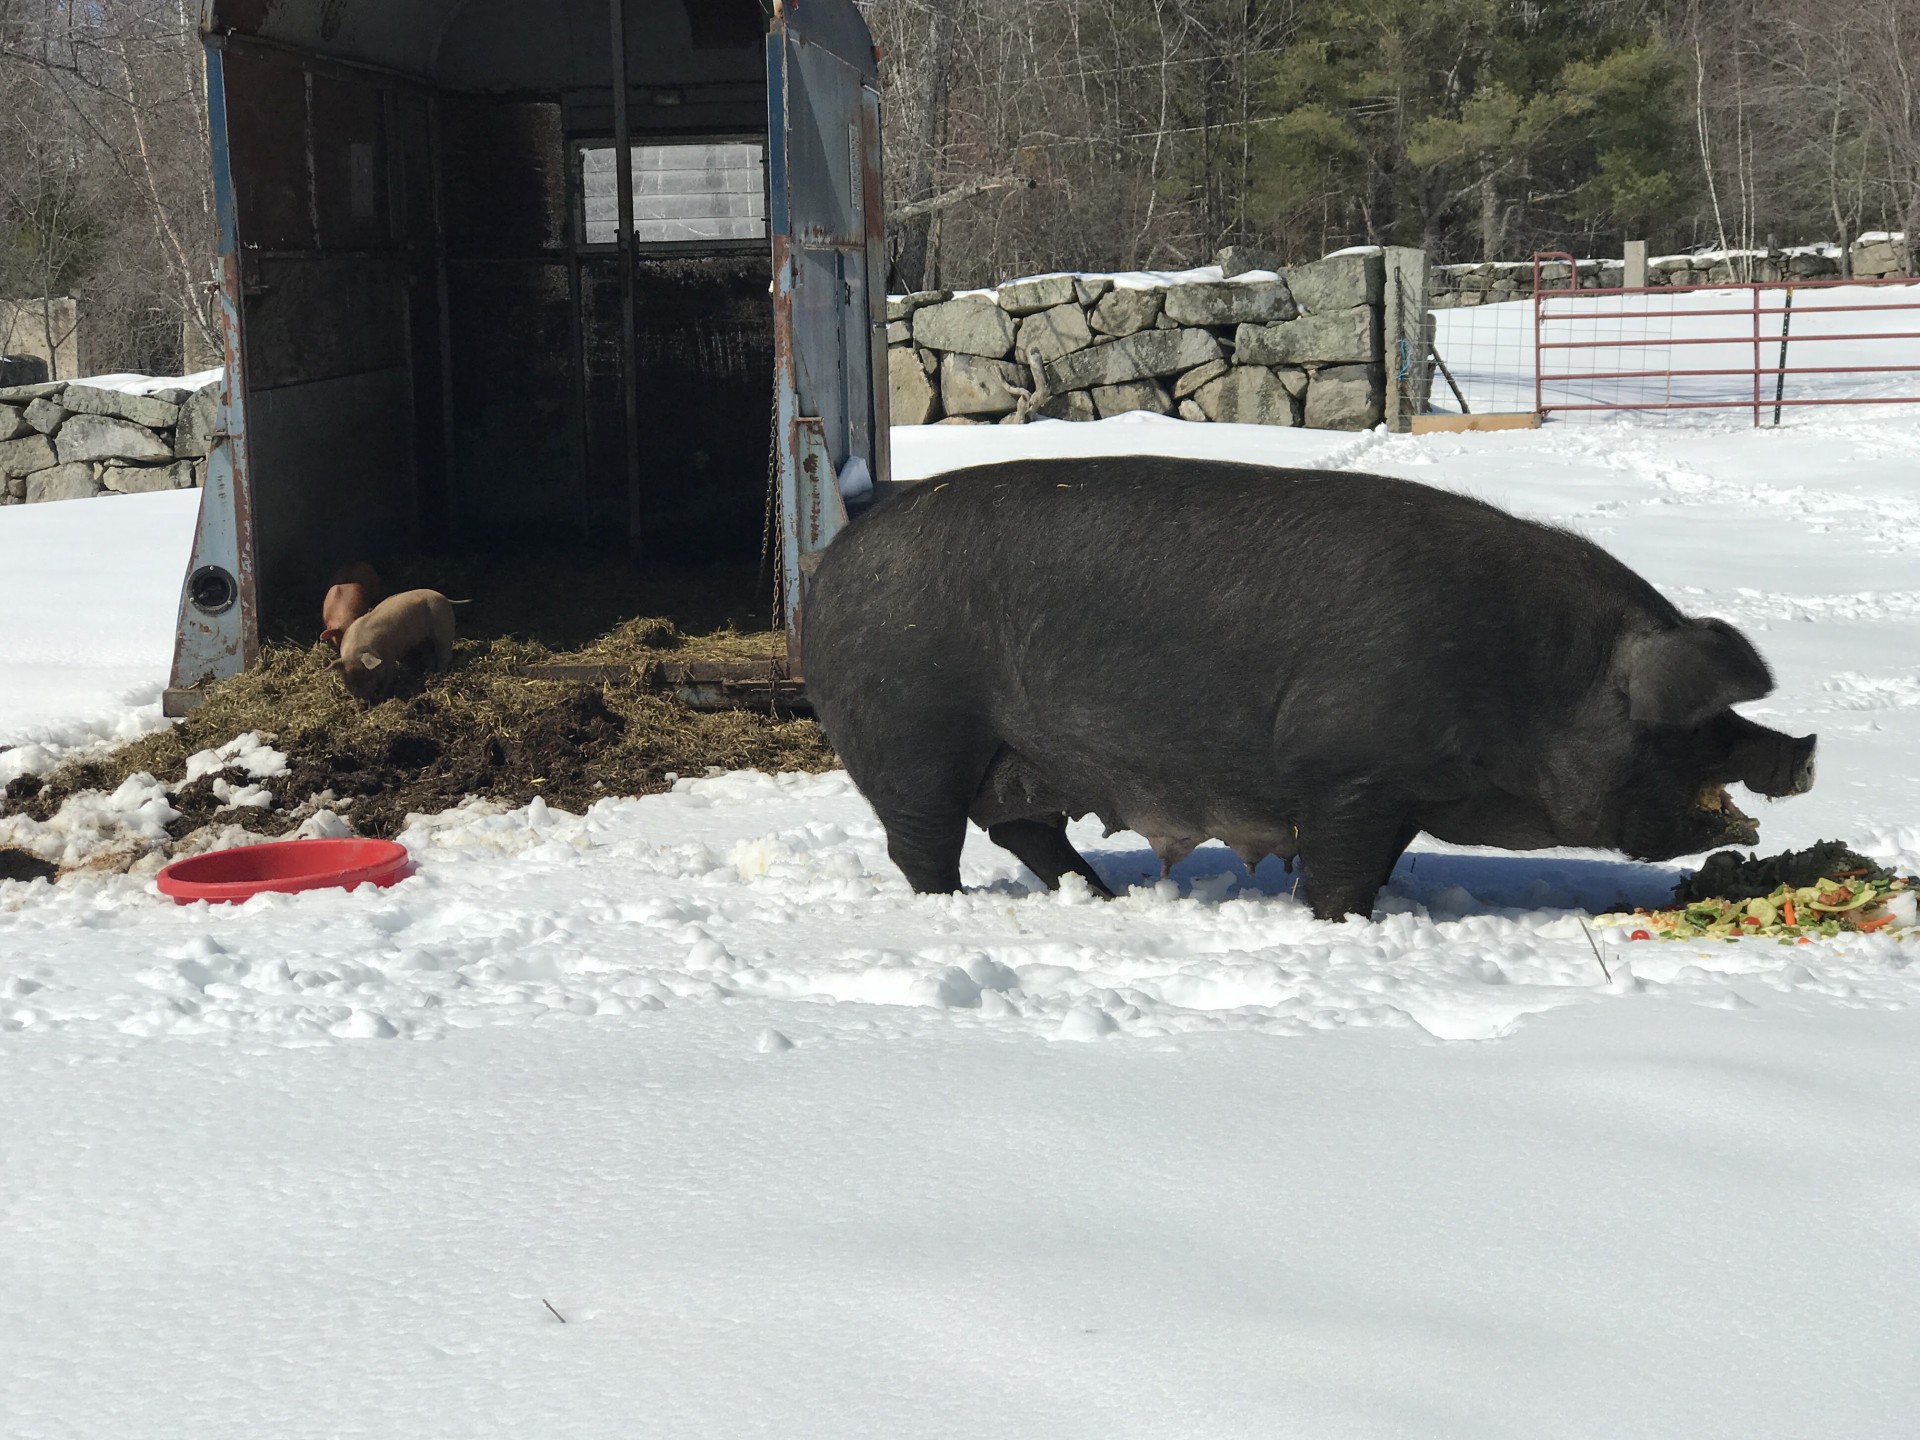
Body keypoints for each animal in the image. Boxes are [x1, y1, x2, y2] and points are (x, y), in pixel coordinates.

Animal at [800, 457, 1817, 921]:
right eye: (1689, 723)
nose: (1805, 751)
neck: (1531, 679)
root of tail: (834, 560)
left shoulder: (1398, 792)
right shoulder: (1350, 773)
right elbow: (1341, 872)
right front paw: (1339, 924)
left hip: (1018, 758)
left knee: (1027, 831)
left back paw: (1105, 900)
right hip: (913, 738)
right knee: (924, 846)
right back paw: (956, 911)